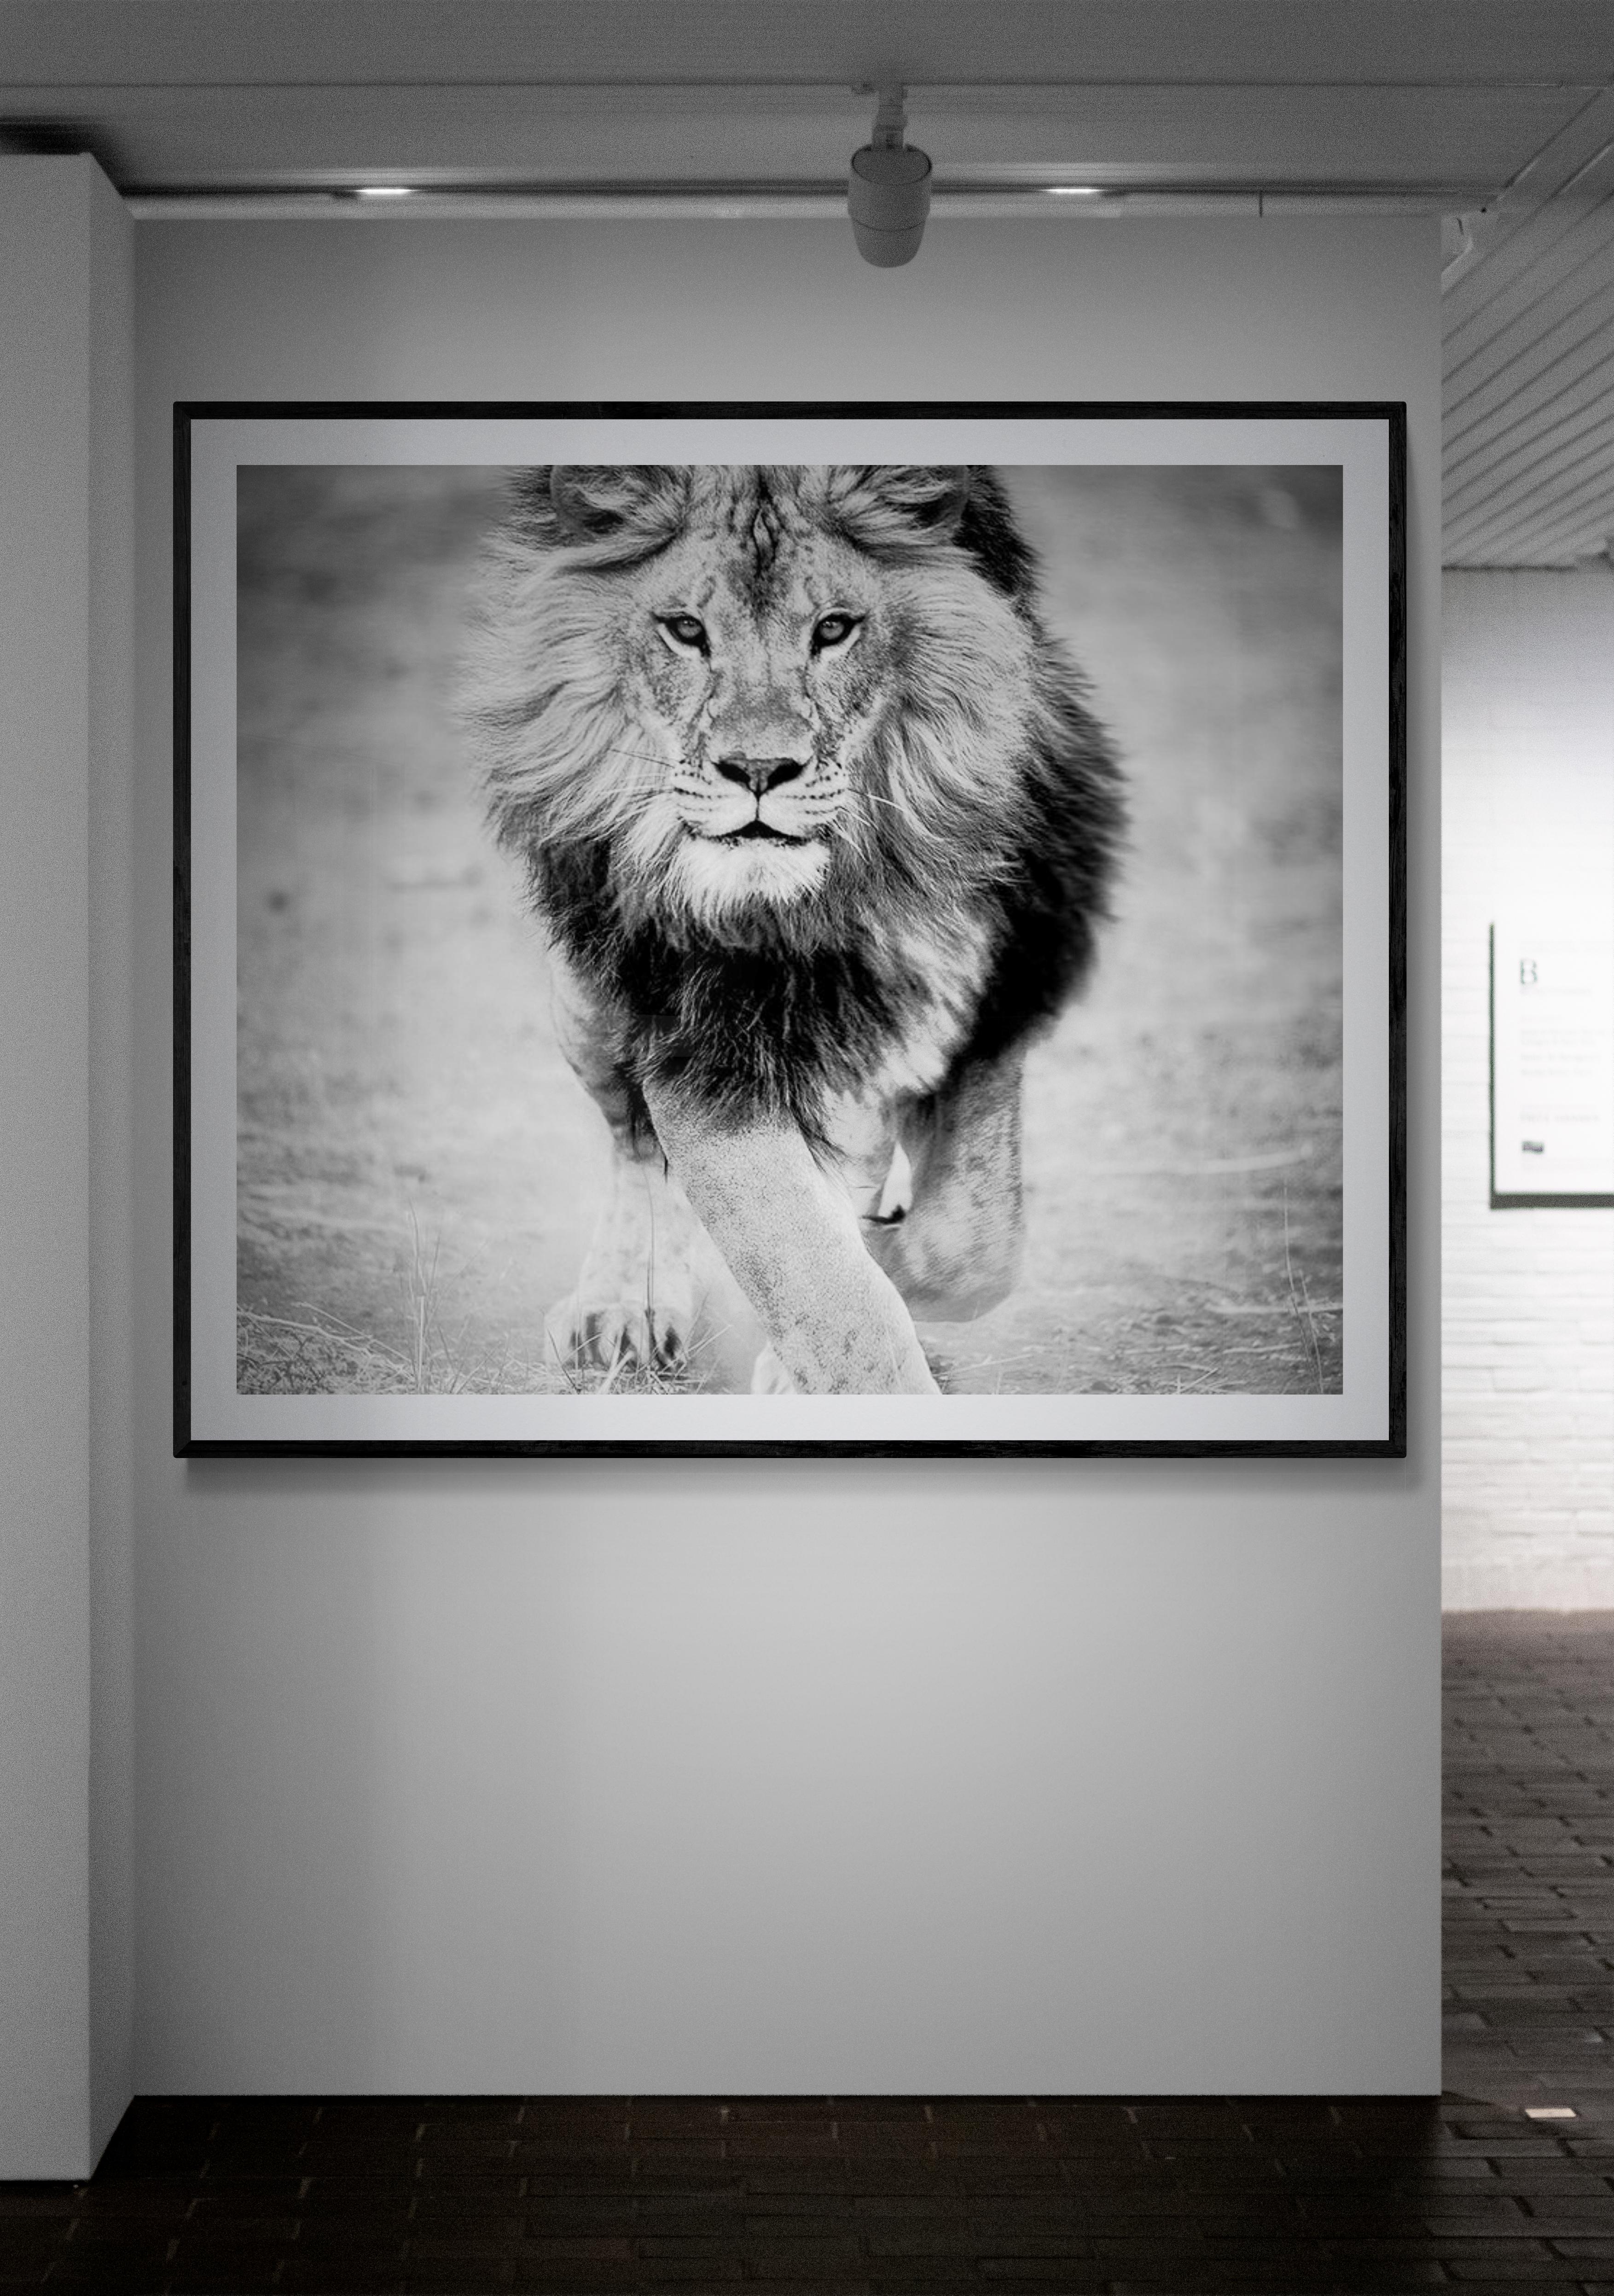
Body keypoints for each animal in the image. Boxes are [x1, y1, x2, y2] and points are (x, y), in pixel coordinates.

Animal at [465, 462, 1124, 1396]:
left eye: (835, 630)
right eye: (685, 631)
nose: (758, 770)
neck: (834, 899)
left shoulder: (999, 1004)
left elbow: (972, 1244)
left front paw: (887, 1261)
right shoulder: (699, 1047)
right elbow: (822, 1285)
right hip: (589, 1001)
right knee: (634, 1141)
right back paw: (626, 1307)